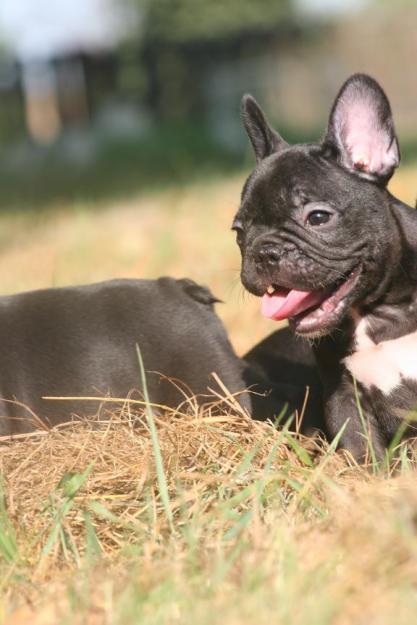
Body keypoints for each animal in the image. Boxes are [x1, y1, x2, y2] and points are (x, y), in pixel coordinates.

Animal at [232, 74, 416, 464]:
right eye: (239, 232)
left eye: (317, 217)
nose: (265, 251)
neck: (376, 314)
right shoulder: (344, 397)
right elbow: (362, 450)